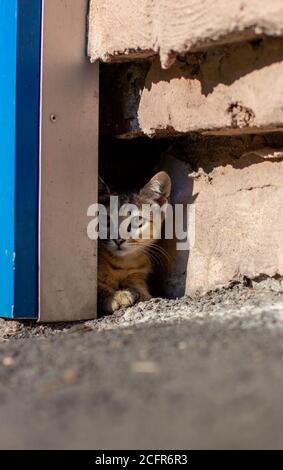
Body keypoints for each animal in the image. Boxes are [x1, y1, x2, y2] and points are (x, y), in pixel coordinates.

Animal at [97, 171, 173, 314]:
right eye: (107, 220)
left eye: (137, 220)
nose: (119, 239)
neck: (122, 263)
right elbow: (99, 286)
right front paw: (116, 296)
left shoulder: (138, 272)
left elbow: (137, 283)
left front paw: (141, 292)